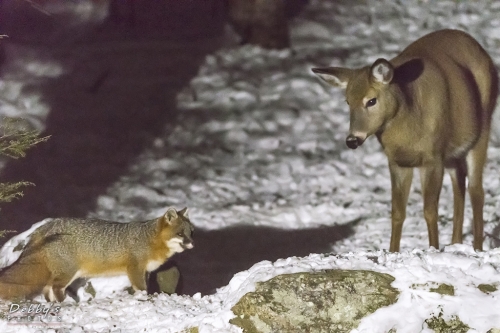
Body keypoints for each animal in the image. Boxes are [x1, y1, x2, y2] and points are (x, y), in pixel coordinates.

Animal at [0, 206, 193, 300]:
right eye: (180, 234)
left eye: (191, 233)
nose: (192, 244)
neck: (149, 239)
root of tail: (45, 226)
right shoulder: (135, 269)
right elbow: (142, 289)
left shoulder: (145, 271)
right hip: (69, 272)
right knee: (55, 288)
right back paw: (67, 304)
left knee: (48, 290)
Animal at [312, 29, 496, 250]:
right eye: (347, 101)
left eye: (371, 100)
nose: (352, 140)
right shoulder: (398, 162)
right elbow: (397, 212)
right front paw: (393, 251)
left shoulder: (432, 158)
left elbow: (430, 210)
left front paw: (433, 248)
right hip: (453, 153)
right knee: (459, 183)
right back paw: (455, 243)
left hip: (483, 127)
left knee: (476, 190)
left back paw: (477, 247)